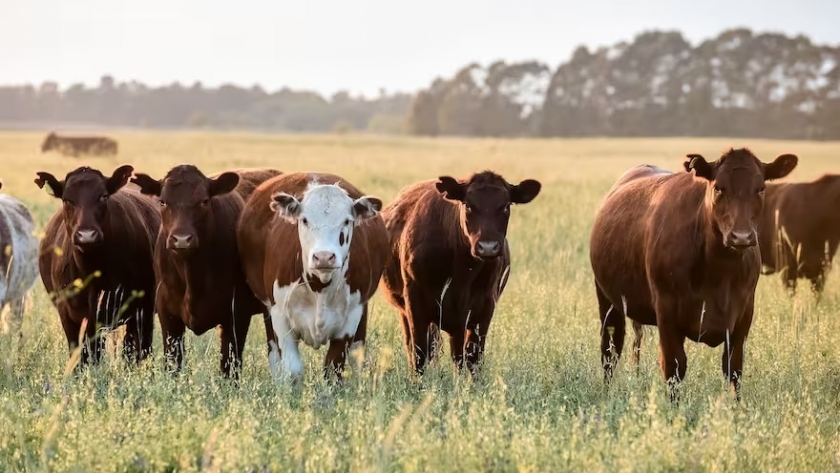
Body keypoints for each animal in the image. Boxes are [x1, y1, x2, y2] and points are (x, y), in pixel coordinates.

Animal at [131, 164, 282, 378]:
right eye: (162, 201)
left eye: (204, 201)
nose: (182, 239)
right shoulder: (167, 314)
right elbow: (173, 363)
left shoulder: (236, 314)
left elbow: (230, 365)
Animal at [238, 171, 388, 382]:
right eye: (305, 220)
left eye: (346, 221)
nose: (324, 256)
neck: (320, 287)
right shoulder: (279, 315)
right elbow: (292, 370)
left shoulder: (351, 317)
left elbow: (333, 368)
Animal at [378, 171, 540, 374]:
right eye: (468, 205)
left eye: (505, 206)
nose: (488, 247)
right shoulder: (415, 302)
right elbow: (419, 354)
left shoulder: (483, 308)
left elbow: (470, 357)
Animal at [588, 148, 796, 398]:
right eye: (718, 187)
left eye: (761, 188)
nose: (742, 236)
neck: (718, 273)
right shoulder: (666, 309)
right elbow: (674, 367)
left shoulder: (744, 312)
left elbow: (734, 369)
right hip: (607, 299)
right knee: (610, 349)